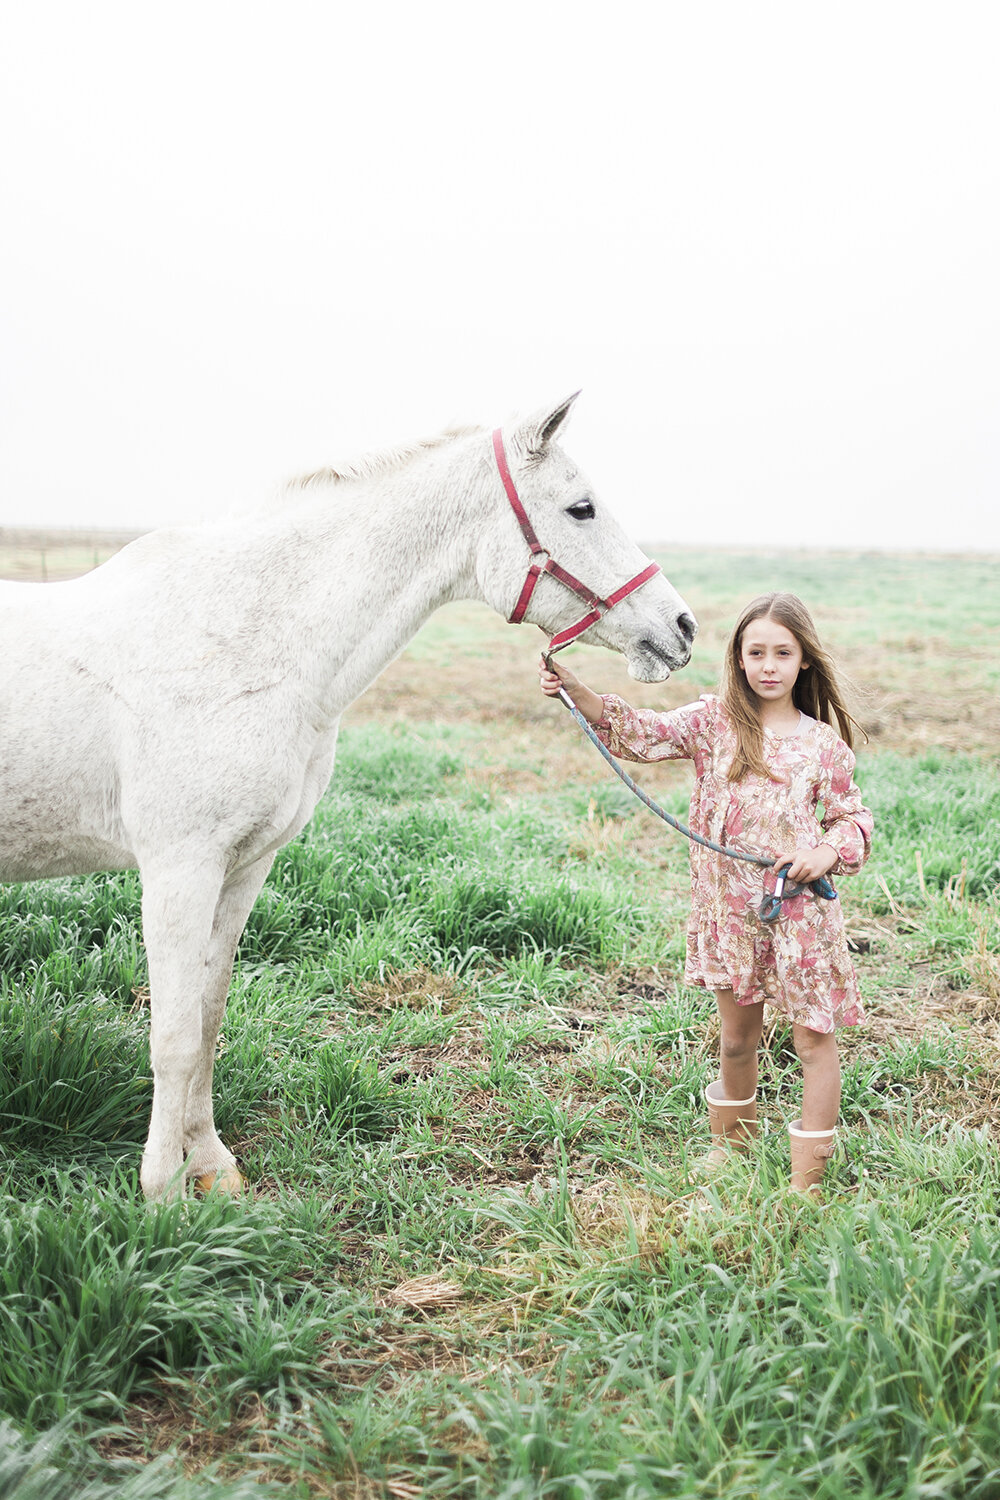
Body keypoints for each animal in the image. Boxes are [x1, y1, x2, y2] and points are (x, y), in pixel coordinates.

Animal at [0, 393, 695, 1200]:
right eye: (580, 508)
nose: (681, 628)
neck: (249, 642)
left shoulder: (243, 865)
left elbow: (207, 1016)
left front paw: (211, 1167)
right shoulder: (179, 867)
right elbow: (172, 1035)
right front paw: (163, 1193)